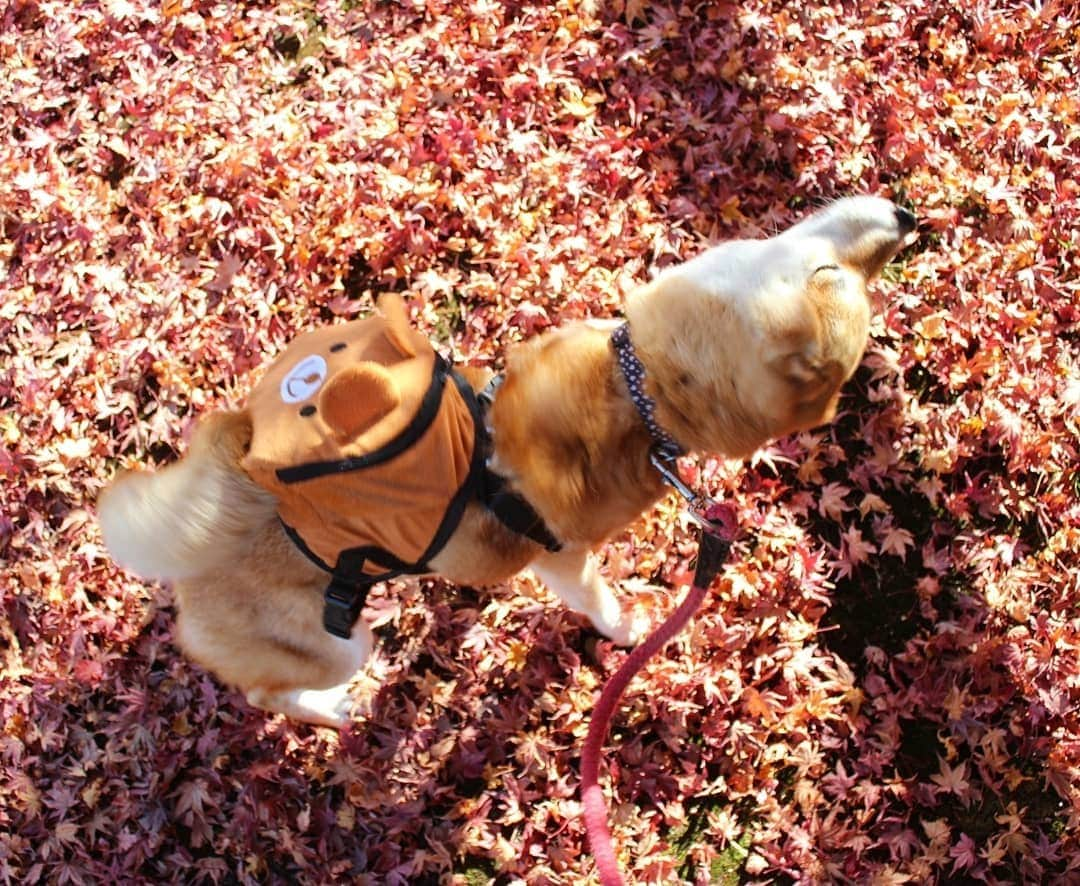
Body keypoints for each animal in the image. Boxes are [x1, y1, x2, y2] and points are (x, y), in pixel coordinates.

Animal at [99, 198, 911, 726]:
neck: (642, 395)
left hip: (338, 640)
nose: (909, 219)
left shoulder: (561, 556)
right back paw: (334, 710)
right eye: (827, 267)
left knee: (267, 694)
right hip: (334, 642)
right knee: (269, 693)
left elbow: (598, 602)